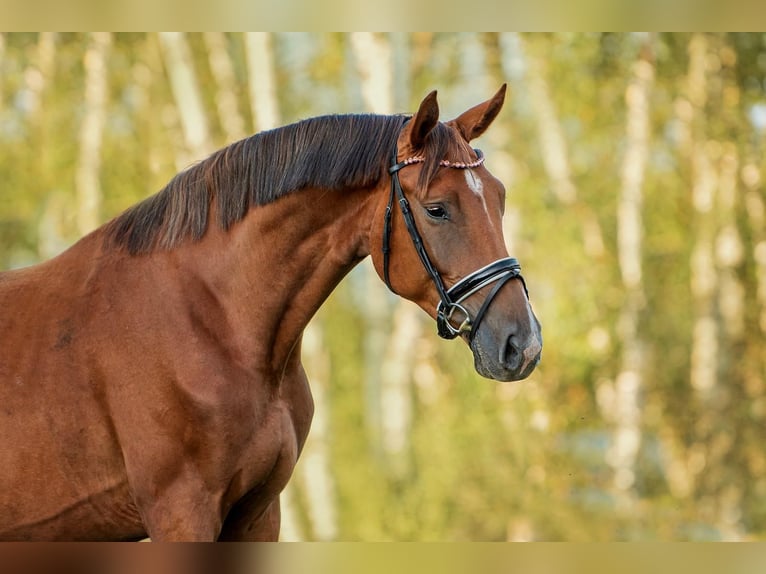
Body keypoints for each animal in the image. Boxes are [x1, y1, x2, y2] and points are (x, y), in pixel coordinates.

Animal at [0, 85, 542, 541]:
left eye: (500, 197)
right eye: (436, 209)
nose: (523, 344)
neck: (212, 319)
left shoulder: (259, 513)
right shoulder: (181, 513)